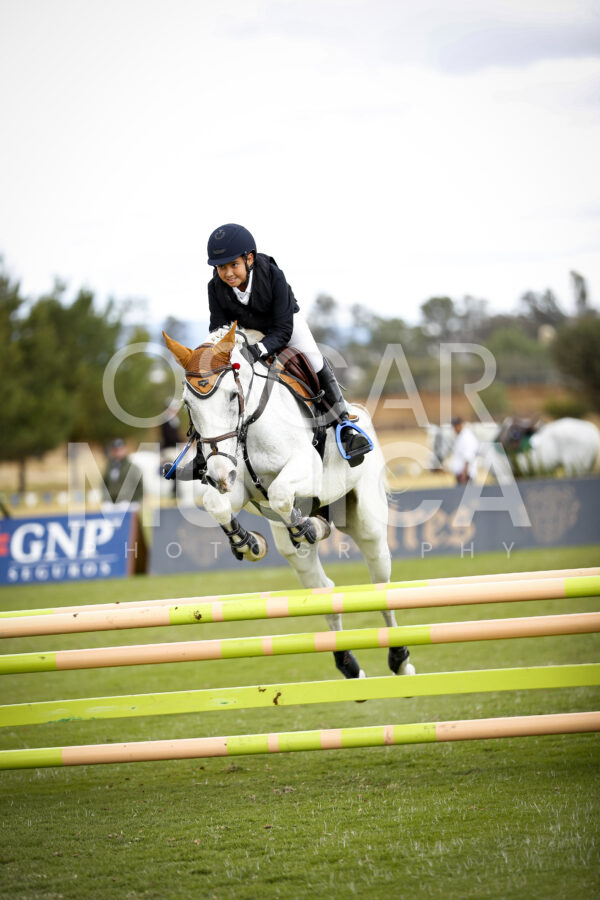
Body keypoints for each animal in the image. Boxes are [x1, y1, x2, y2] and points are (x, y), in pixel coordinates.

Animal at [163, 321, 415, 681]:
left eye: (231, 396)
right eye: (188, 404)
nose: (219, 474)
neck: (249, 423)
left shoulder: (305, 467)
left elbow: (281, 492)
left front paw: (303, 527)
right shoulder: (240, 486)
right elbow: (217, 504)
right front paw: (248, 543)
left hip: (367, 523)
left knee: (379, 584)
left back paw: (400, 658)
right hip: (296, 552)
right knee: (322, 588)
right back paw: (347, 663)